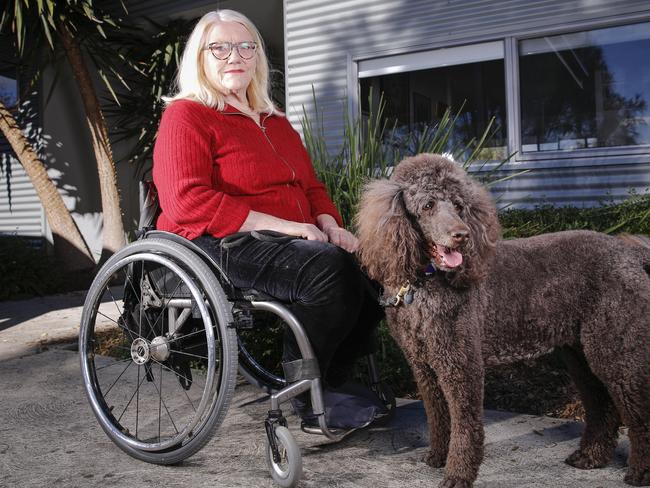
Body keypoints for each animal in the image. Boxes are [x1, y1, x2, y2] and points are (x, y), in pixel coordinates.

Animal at [354, 153, 648, 488]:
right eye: (427, 205)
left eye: (459, 205)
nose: (462, 235)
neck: (426, 284)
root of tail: (629, 253)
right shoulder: (423, 365)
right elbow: (437, 415)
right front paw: (438, 457)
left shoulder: (461, 363)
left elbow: (465, 425)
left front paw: (457, 474)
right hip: (582, 353)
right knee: (602, 406)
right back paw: (591, 457)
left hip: (617, 348)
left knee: (638, 411)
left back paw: (640, 471)